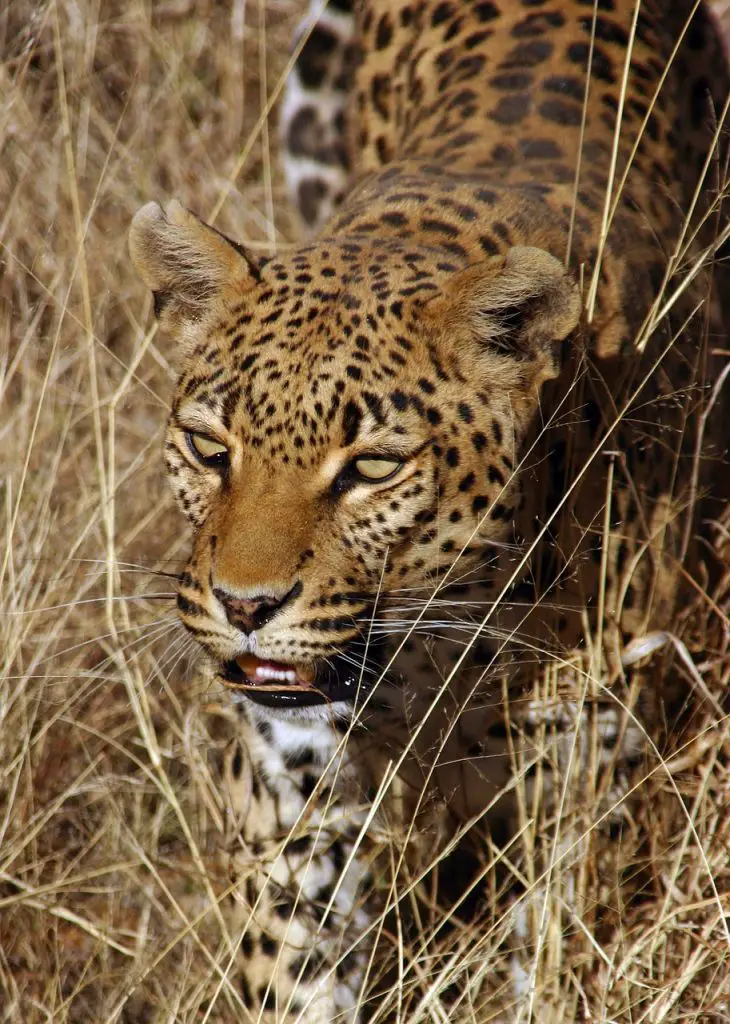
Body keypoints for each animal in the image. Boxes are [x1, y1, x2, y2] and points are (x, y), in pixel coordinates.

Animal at [127, 4, 724, 1019]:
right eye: (212, 450)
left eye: (371, 468)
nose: (245, 607)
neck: (436, 655)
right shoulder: (298, 783)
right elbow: (297, 971)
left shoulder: (581, 774)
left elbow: (553, 956)